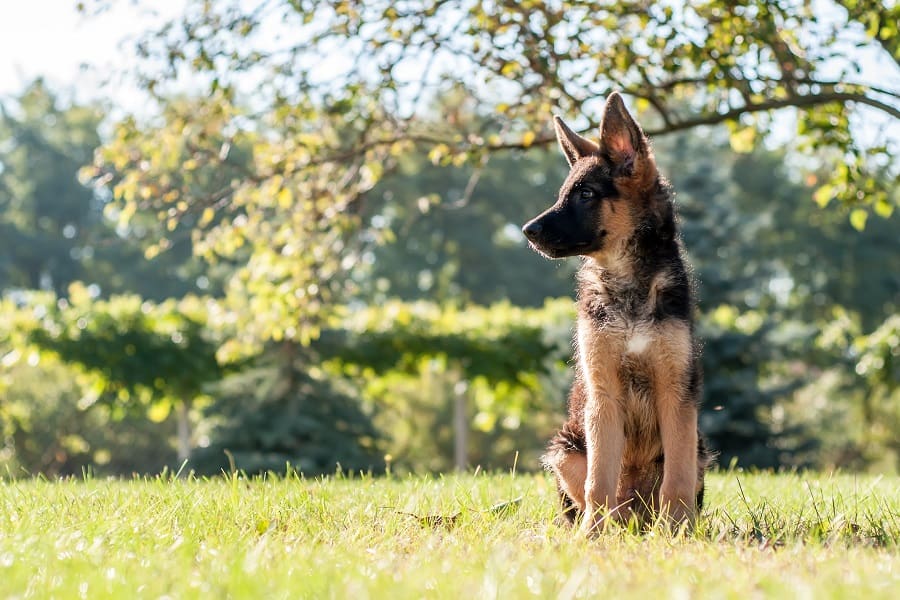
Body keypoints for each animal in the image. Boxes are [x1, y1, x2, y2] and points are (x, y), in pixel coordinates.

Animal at [520, 91, 712, 532]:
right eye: (564, 193)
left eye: (586, 195)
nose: (527, 231)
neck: (628, 286)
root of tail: (635, 511)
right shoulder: (603, 393)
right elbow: (598, 480)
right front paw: (592, 536)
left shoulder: (676, 394)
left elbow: (676, 479)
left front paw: (677, 532)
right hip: (566, 449)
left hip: (699, 449)